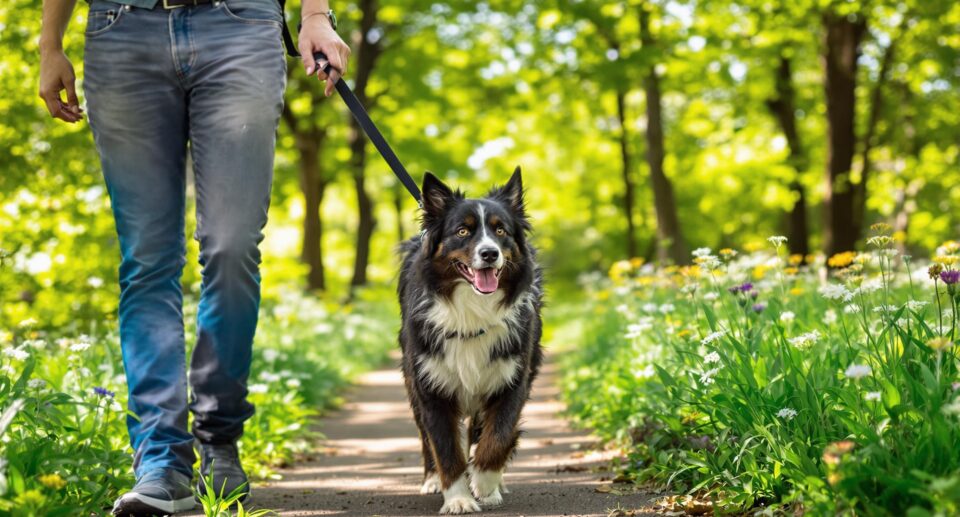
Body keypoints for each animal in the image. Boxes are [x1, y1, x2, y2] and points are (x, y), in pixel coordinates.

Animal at [398, 168, 544, 512]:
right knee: (426, 438)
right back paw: (432, 480)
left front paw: (485, 483)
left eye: (500, 230)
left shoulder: (511, 379)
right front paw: (459, 498)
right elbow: (446, 448)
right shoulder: (431, 386)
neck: (472, 308)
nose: (489, 253)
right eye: (462, 231)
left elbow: (498, 436)